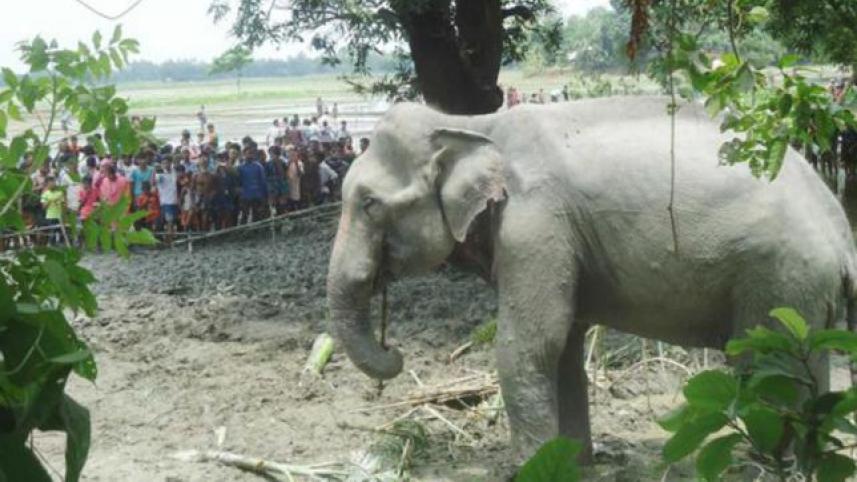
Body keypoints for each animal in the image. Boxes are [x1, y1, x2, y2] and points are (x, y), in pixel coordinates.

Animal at [326, 96, 857, 464]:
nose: (396, 352)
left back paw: (763, 463)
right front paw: (572, 462)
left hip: (778, 282)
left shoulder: (537, 224)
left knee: (766, 370)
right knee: (811, 370)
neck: (473, 124)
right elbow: (562, 347)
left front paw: (527, 468)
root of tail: (840, 229)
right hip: (806, 294)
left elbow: (530, 346)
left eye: (370, 203)